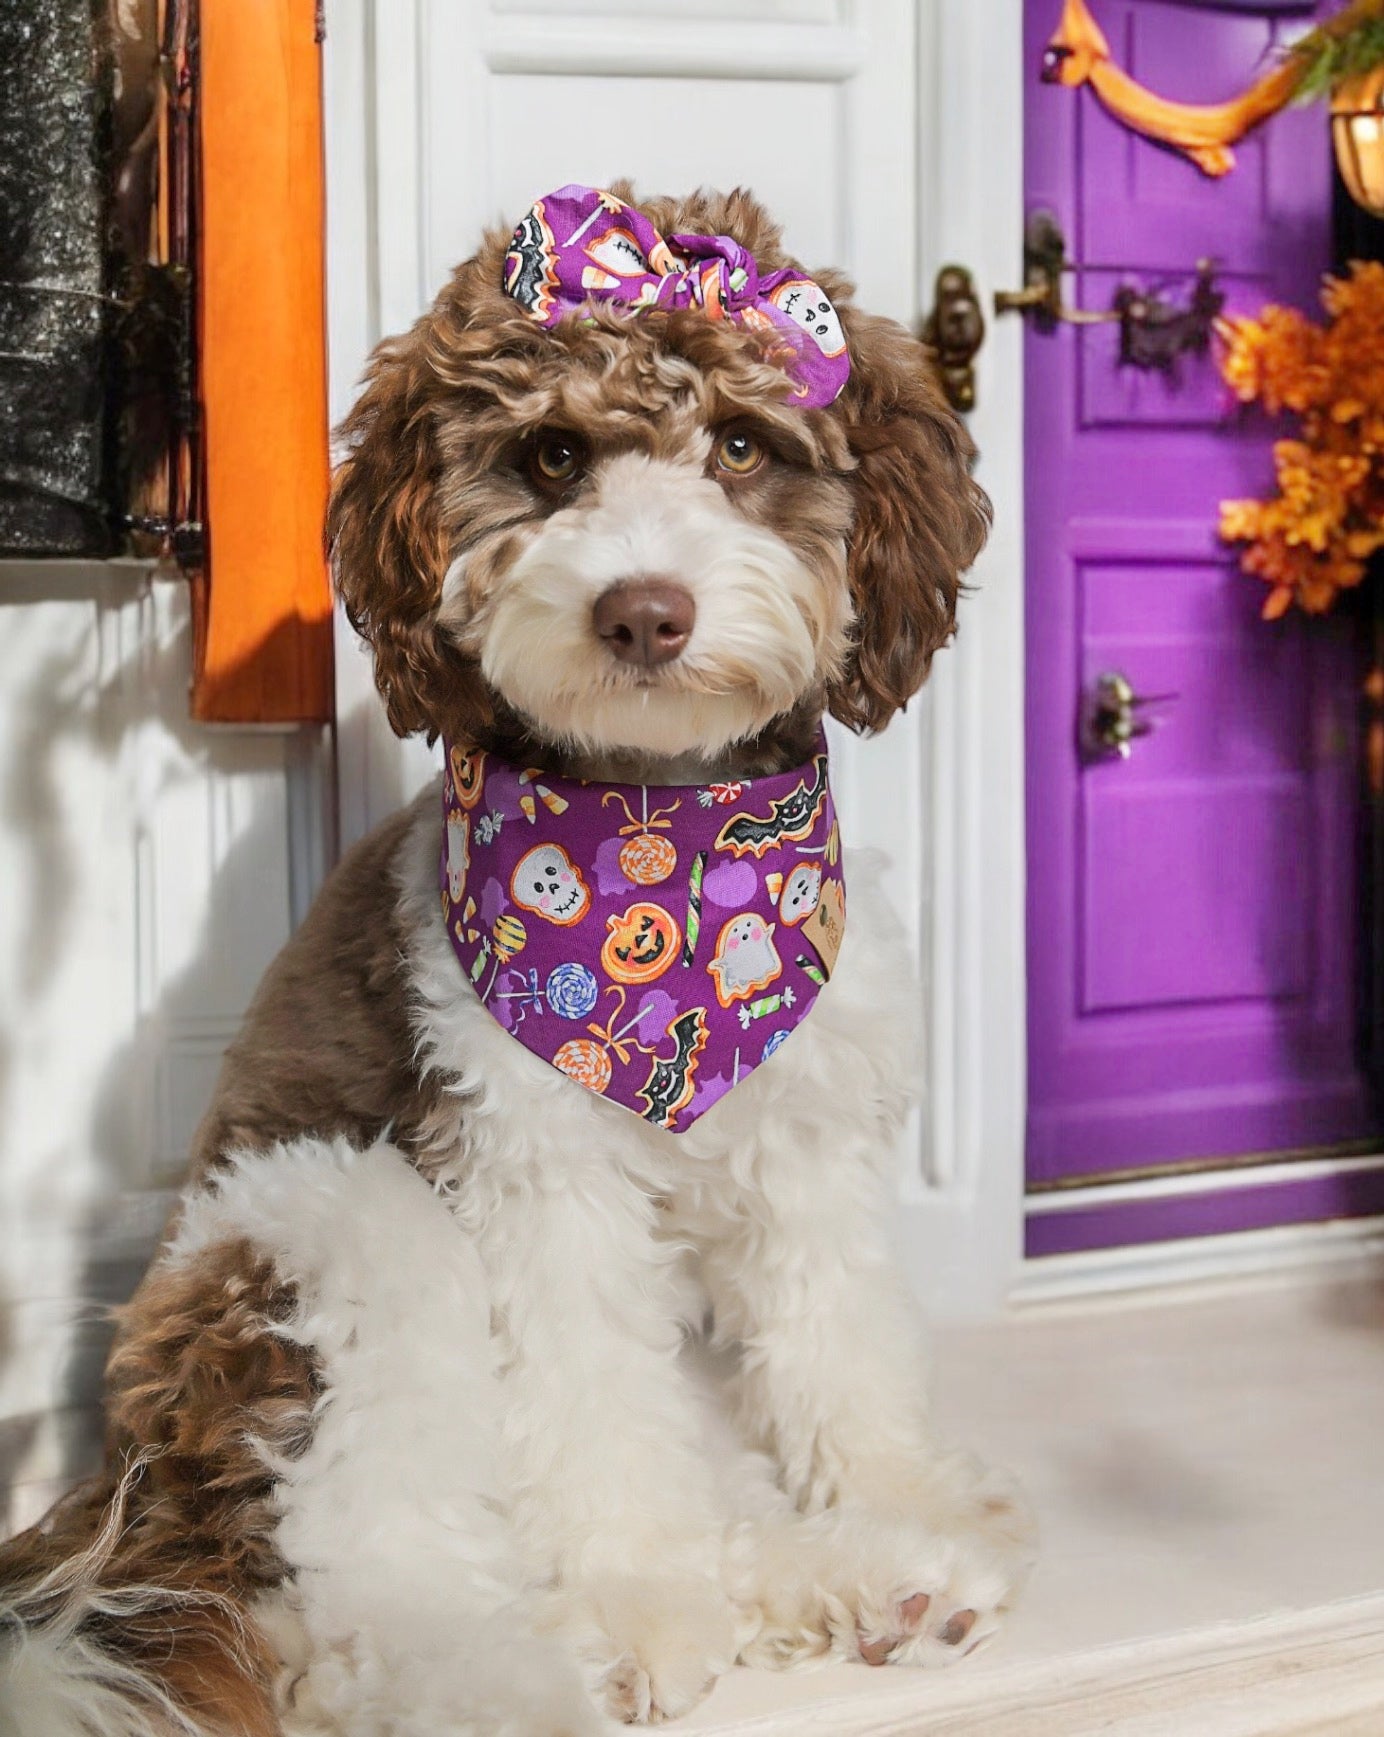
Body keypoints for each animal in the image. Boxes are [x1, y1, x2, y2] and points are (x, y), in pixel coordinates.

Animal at [0, 183, 1028, 1730]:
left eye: (743, 446)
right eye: (552, 457)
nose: (643, 610)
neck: (665, 844)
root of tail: (135, 1491)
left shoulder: (807, 1144)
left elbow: (835, 1341)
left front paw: (898, 1495)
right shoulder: (530, 1170)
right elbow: (588, 1401)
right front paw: (637, 1595)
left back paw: (869, 1578)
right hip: (331, 1230)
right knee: (359, 1605)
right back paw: (547, 1667)